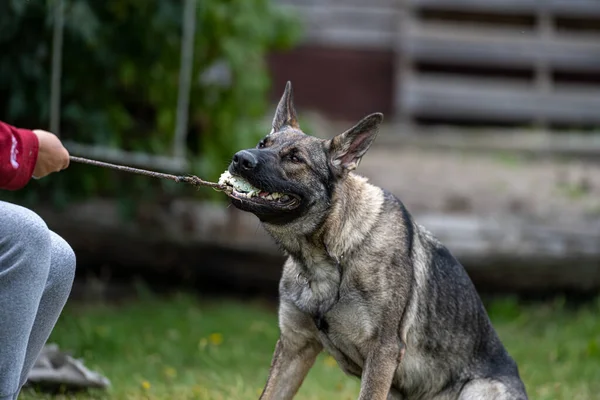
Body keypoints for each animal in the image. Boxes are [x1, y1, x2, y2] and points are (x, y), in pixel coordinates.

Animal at [218, 82, 528, 400]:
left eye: (295, 158)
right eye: (262, 143)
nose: (240, 158)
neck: (331, 255)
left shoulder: (383, 352)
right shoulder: (294, 348)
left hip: (478, 389)